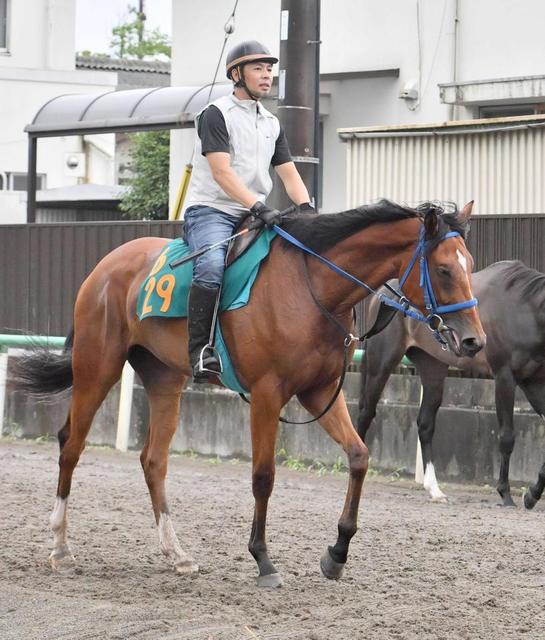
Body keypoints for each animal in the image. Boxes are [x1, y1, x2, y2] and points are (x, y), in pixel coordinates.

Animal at [11, 199, 484, 587]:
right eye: (444, 270)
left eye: (470, 264)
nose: (474, 341)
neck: (311, 287)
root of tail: (105, 266)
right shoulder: (267, 394)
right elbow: (263, 476)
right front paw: (263, 560)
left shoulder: (319, 393)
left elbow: (359, 457)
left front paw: (336, 554)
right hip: (97, 368)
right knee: (70, 444)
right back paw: (60, 546)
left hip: (164, 379)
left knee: (153, 461)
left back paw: (176, 553)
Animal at [357, 260, 545, 508]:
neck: (526, 311)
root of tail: (381, 293)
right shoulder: (505, 377)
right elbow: (507, 438)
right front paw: (505, 494)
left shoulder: (533, 381)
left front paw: (532, 495)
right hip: (382, 363)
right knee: (365, 414)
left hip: (432, 367)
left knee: (425, 425)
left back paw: (434, 490)